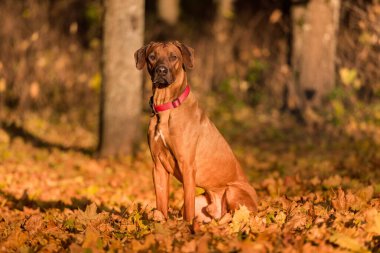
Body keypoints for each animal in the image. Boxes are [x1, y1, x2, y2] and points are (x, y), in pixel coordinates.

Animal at [134, 40, 258, 222]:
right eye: (152, 57)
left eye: (173, 57)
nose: (161, 70)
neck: (167, 106)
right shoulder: (157, 165)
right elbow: (161, 202)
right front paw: (161, 221)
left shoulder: (187, 164)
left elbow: (188, 206)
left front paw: (186, 226)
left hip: (233, 191)